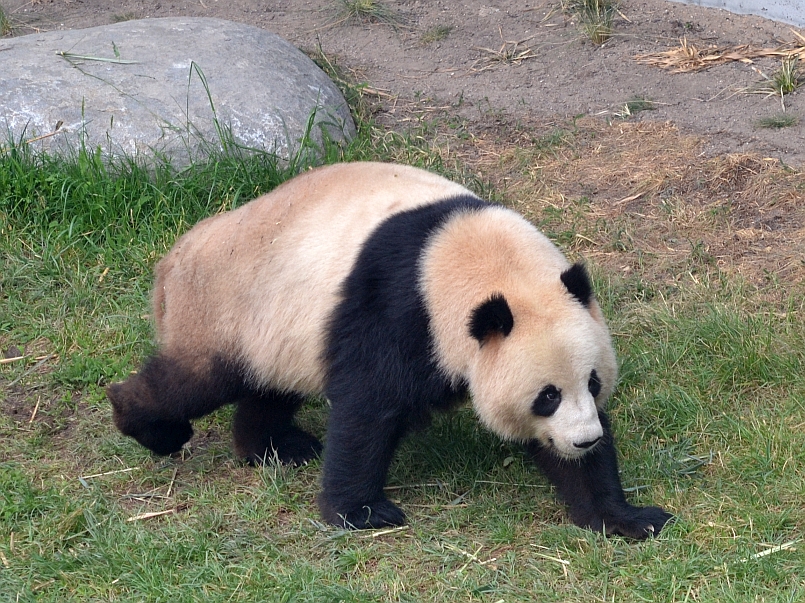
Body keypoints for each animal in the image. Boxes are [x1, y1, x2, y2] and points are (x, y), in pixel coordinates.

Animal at [108, 161, 672, 538]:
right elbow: (369, 407)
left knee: (269, 387)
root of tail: (171, 261)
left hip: (282, 329)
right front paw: (362, 512)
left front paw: (626, 517)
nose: (583, 440)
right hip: (227, 306)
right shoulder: (396, 307)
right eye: (547, 396)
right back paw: (151, 425)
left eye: (593, 383)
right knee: (196, 380)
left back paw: (274, 447)